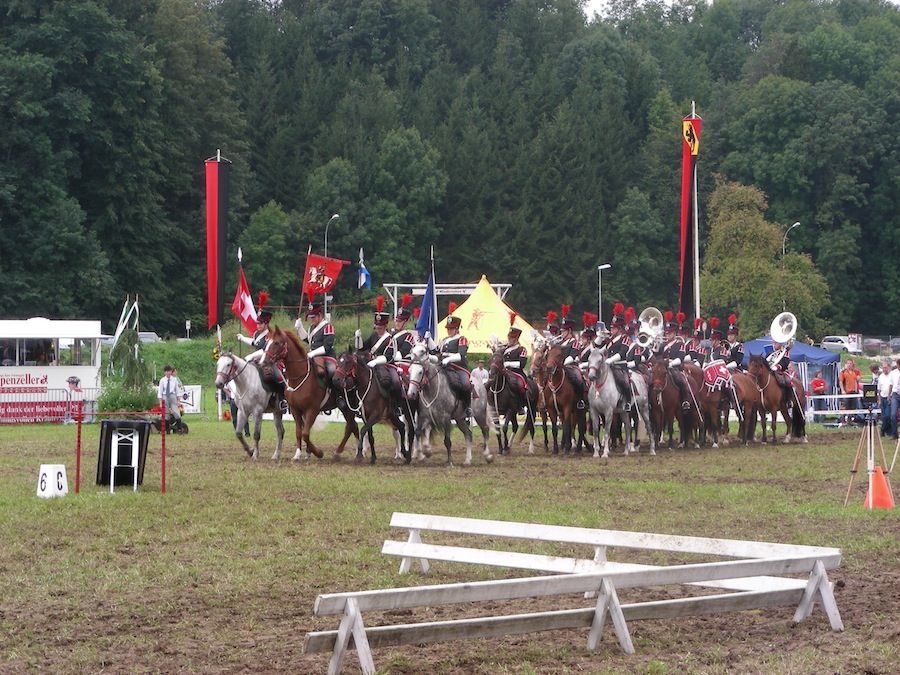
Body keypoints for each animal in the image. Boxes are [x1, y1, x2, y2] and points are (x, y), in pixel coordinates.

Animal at [260, 326, 358, 462]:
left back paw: (351, 452)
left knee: (352, 427)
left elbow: (305, 433)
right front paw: (298, 454)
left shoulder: (312, 410)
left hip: (349, 407)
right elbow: (299, 432)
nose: (263, 362)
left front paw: (318, 452)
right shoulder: (296, 410)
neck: (299, 377)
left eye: (276, 343)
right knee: (352, 426)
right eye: (267, 342)